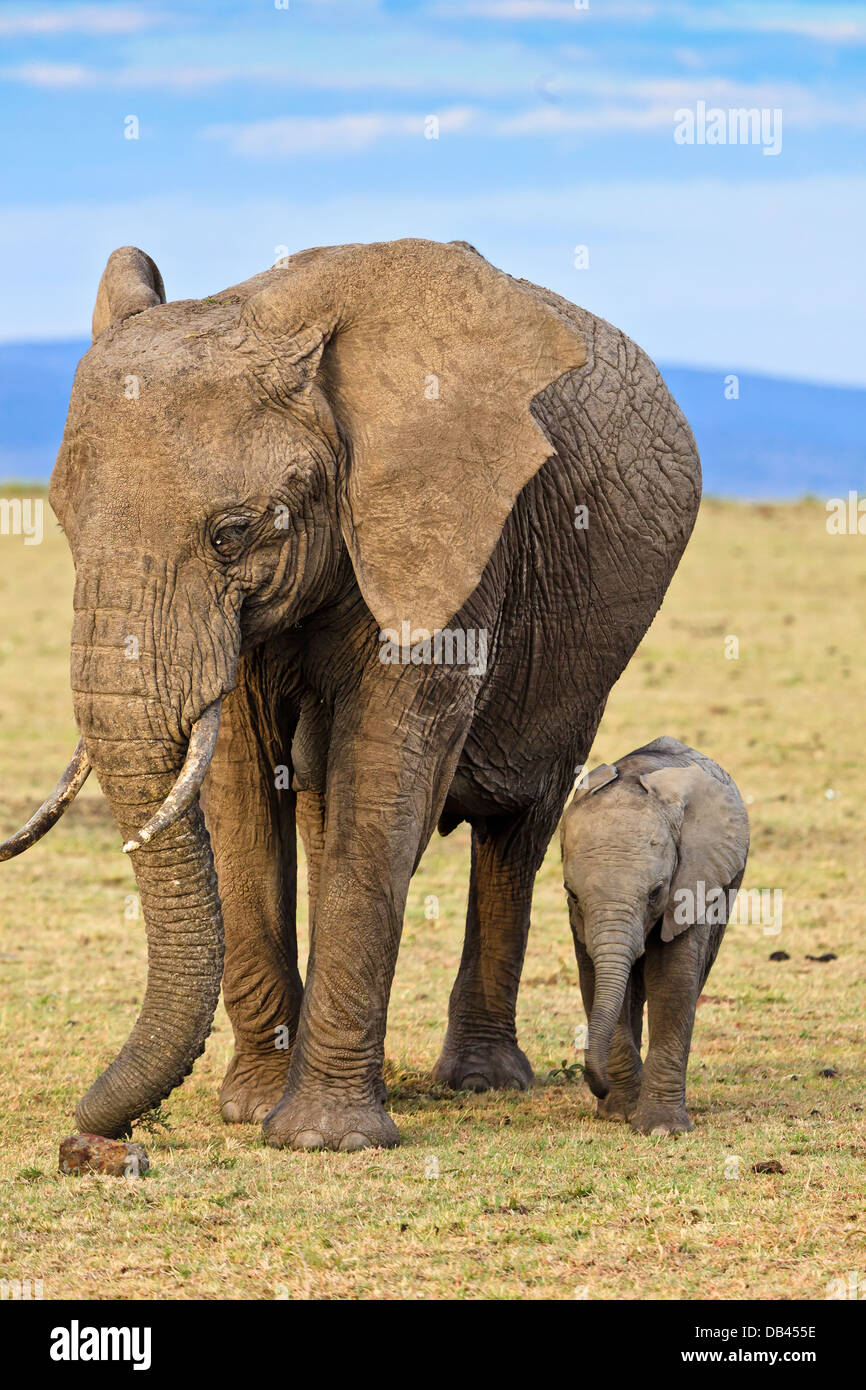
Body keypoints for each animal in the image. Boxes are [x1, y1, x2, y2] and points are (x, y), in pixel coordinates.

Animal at [0, 239, 700, 1150]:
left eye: (232, 534)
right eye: (62, 522)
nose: (94, 1139)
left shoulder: (453, 527)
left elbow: (385, 767)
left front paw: (324, 1137)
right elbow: (241, 782)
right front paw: (255, 1109)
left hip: (583, 657)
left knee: (519, 825)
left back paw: (480, 1082)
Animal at [567, 733, 750, 1134]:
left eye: (656, 892)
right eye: (572, 894)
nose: (598, 1088)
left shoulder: (692, 881)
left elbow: (673, 980)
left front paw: (661, 1128)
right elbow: (593, 980)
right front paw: (620, 1114)